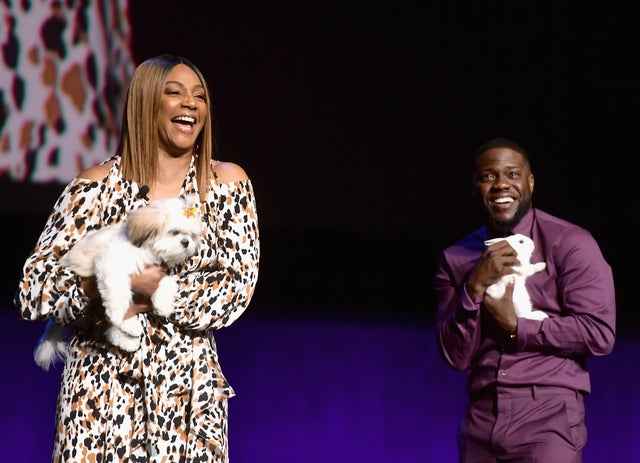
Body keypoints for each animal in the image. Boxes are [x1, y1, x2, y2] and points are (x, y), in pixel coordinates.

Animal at [33, 195, 202, 370]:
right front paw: (116, 312)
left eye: (191, 235)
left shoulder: (158, 271)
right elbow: (118, 292)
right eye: (174, 232)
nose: (186, 242)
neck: (146, 249)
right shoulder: (111, 265)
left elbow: (167, 282)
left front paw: (163, 305)